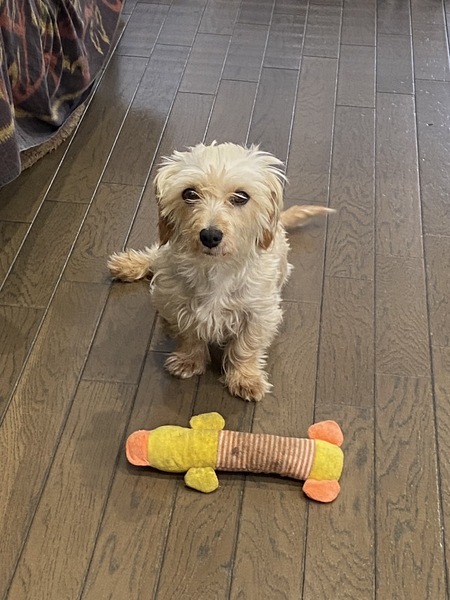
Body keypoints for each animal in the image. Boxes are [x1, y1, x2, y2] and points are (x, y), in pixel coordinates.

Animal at [108, 142, 333, 401]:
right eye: (189, 194)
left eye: (241, 197)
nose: (210, 236)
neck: (214, 268)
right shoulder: (176, 303)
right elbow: (188, 334)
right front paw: (189, 360)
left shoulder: (260, 313)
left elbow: (246, 346)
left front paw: (245, 377)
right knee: (154, 255)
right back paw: (129, 264)